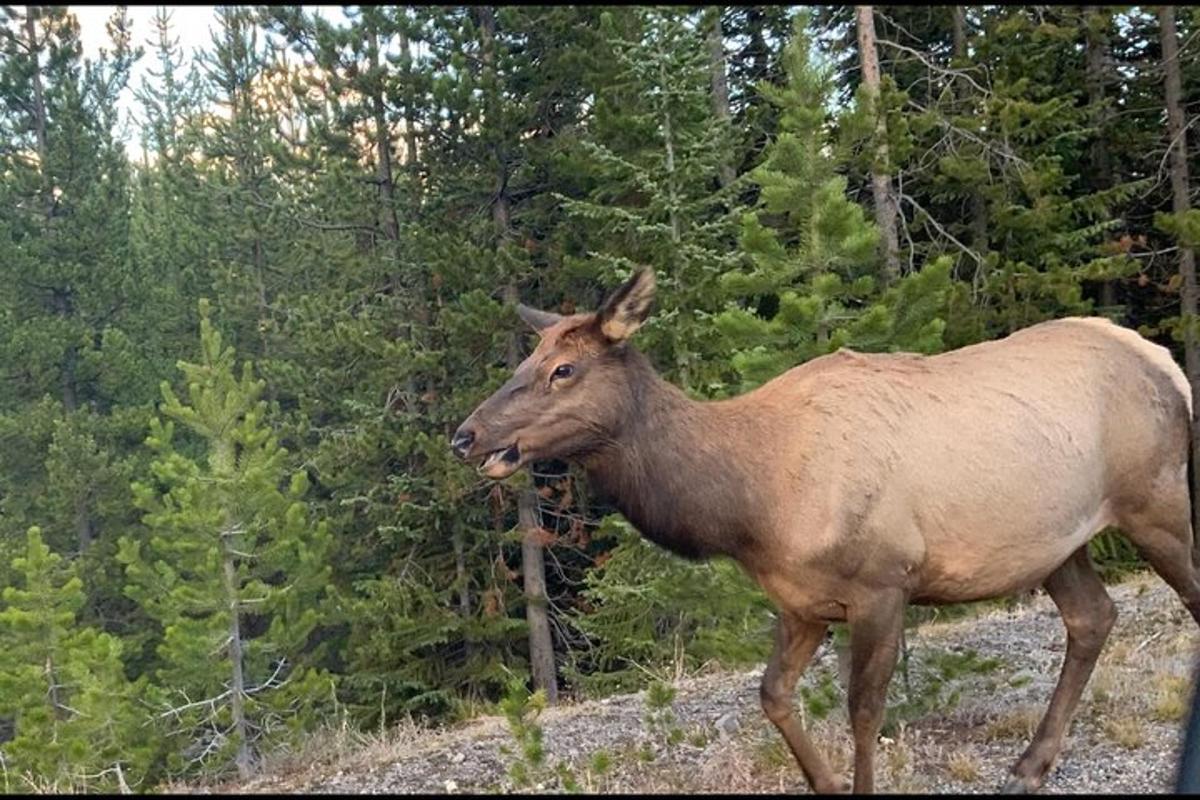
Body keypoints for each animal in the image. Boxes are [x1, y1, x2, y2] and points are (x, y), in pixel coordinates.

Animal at [451, 268, 1200, 796]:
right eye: (523, 364)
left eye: (563, 369)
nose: (466, 435)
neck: (751, 507)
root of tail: (1165, 362)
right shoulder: (803, 601)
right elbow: (773, 695)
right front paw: (828, 781)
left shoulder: (884, 583)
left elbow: (865, 712)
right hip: (1054, 542)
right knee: (1093, 617)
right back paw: (1031, 764)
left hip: (1155, 498)